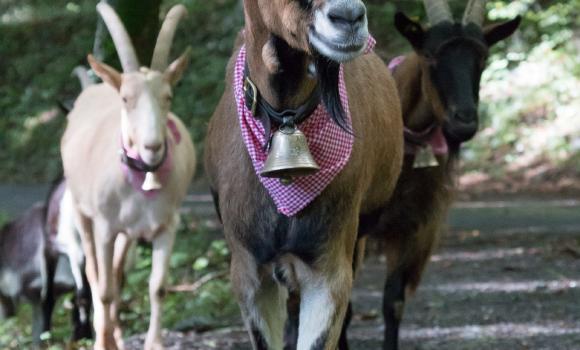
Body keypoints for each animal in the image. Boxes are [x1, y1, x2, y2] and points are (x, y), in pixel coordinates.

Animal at [60, 3, 195, 350]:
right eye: (125, 98)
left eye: (168, 96)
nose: (152, 147)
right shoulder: (105, 227)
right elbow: (104, 289)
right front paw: (101, 342)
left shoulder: (165, 225)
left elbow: (157, 287)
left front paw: (154, 343)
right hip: (82, 213)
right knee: (96, 274)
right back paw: (105, 332)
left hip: (128, 233)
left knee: (119, 271)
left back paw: (118, 334)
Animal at [338, 0, 524, 350]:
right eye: (429, 54)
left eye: (482, 55)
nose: (463, 122)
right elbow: (341, 308)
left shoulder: (415, 228)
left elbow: (393, 303)